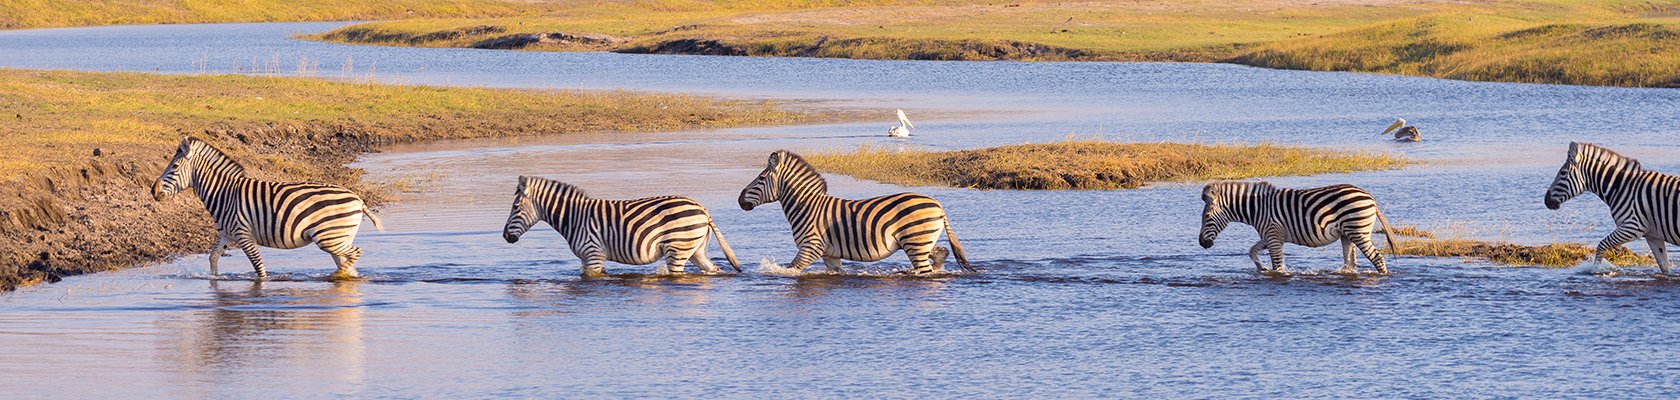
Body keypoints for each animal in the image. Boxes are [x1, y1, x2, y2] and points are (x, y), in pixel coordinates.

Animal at [152, 136, 384, 278]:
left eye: (174, 166)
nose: (153, 190)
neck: (224, 193)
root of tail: (358, 199)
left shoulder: (244, 235)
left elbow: (259, 269)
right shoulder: (226, 234)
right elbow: (213, 257)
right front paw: (214, 279)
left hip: (330, 237)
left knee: (355, 253)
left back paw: (337, 275)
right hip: (339, 238)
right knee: (348, 260)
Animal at [497, 176, 735, 277]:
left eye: (515, 207)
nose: (505, 236)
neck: (573, 217)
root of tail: (702, 208)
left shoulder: (593, 253)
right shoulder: (587, 258)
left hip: (678, 248)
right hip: (695, 250)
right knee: (713, 269)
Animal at [735, 149, 974, 275]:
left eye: (761, 178)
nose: (739, 200)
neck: (807, 207)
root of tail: (938, 205)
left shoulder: (811, 247)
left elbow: (790, 269)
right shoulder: (829, 254)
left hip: (915, 242)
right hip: (921, 242)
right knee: (940, 253)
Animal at [1196, 182, 1404, 273]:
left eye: (1206, 217)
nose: (1202, 243)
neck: (1257, 210)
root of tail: (1371, 198)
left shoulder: (1273, 236)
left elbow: (1278, 266)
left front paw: (1274, 272)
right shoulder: (1270, 235)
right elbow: (1252, 252)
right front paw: (1262, 268)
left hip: (1358, 231)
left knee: (1377, 258)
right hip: (1347, 235)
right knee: (1350, 263)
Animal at [1545, 142, 1680, 273]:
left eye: (1563, 173)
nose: (1546, 200)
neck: (1621, 187)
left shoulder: (1632, 227)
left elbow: (1602, 244)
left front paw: (1596, 269)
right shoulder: (1653, 236)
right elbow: (1663, 266)